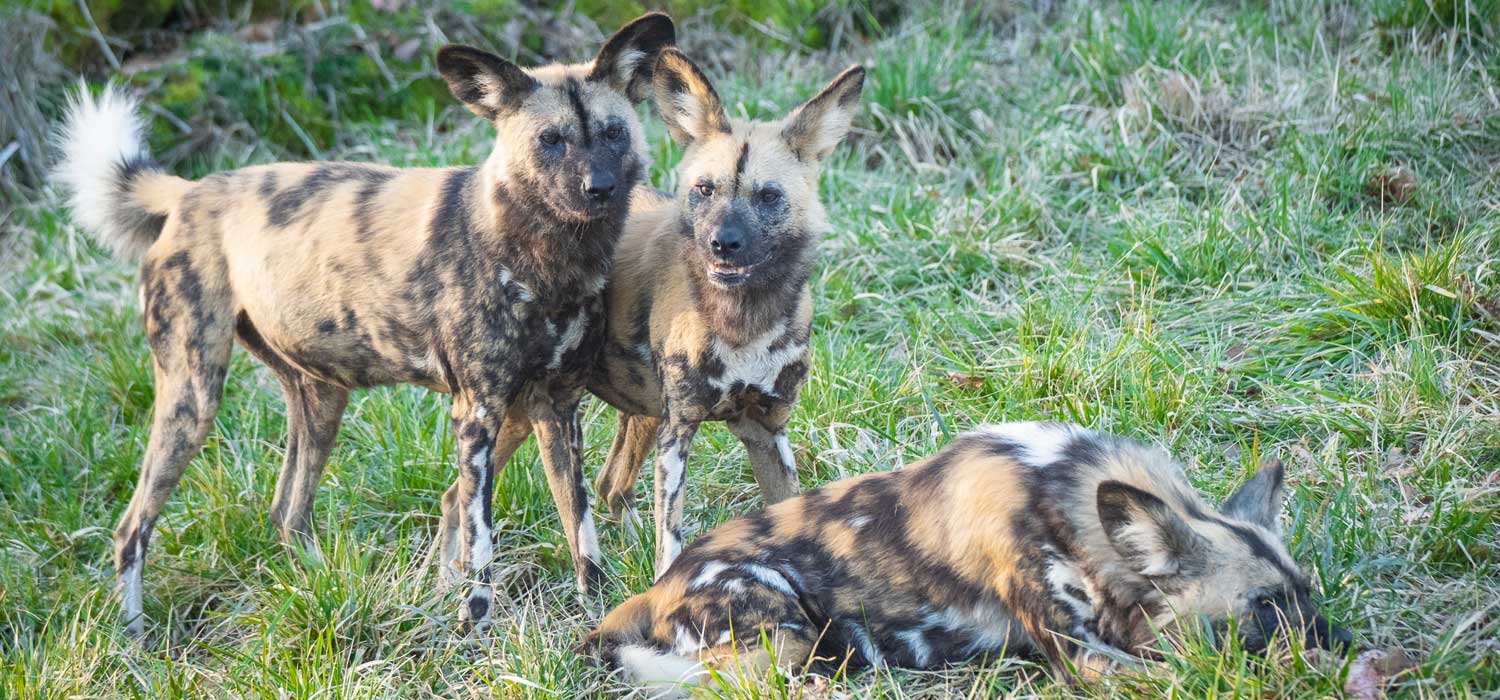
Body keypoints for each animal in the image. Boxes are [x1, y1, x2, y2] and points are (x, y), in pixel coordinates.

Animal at [52, 15, 675, 641]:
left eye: (613, 133)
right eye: (551, 140)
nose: (599, 187)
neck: (550, 260)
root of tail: (190, 190)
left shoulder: (556, 406)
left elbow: (581, 527)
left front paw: (594, 610)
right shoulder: (477, 414)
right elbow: (480, 544)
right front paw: (475, 631)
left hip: (322, 398)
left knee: (287, 512)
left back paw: (323, 592)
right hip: (193, 399)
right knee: (131, 529)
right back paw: (135, 639)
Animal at [435, 46, 864, 578]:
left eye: (768, 196)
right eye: (705, 189)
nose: (722, 243)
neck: (745, 324)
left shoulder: (766, 430)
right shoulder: (678, 433)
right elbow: (670, 545)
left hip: (632, 412)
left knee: (608, 485)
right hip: (518, 415)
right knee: (459, 499)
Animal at [579, 422, 1356, 695]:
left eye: (1307, 593)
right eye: (1264, 608)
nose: (1346, 644)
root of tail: (659, 585)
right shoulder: (1085, 656)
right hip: (785, 640)